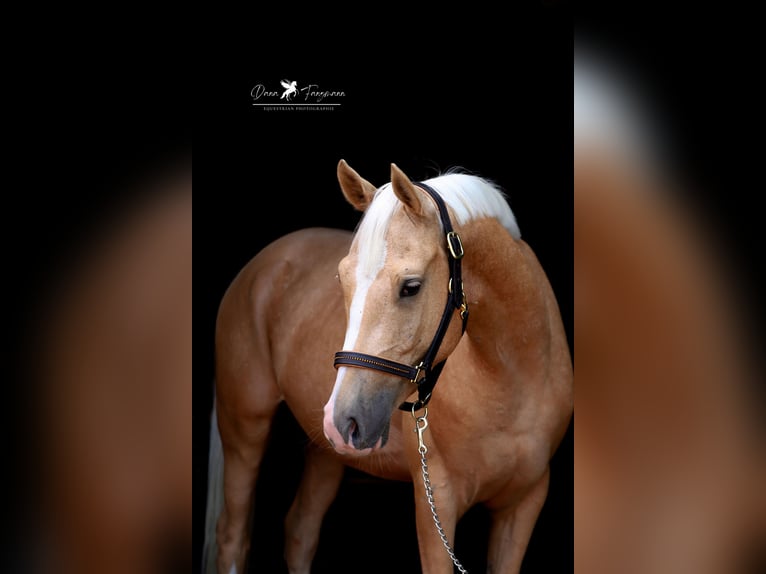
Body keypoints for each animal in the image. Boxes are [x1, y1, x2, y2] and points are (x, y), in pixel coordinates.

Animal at [201, 162, 572, 574]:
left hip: (325, 452)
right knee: (232, 536)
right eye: (342, 279)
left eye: (411, 286)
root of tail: (260, 265)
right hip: (244, 429)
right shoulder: (436, 502)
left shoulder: (524, 503)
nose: (343, 418)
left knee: (300, 530)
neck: (509, 382)